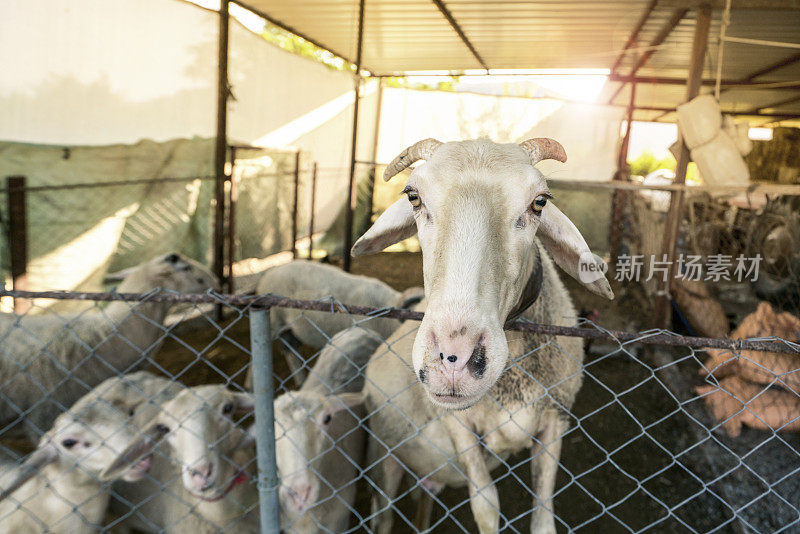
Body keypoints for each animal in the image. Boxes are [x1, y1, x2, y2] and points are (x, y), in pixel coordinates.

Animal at [348, 139, 612, 534]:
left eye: (540, 202)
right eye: (413, 197)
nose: (454, 357)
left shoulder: (556, 419)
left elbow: (543, 518)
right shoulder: (458, 424)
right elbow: (486, 505)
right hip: (384, 453)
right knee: (383, 512)